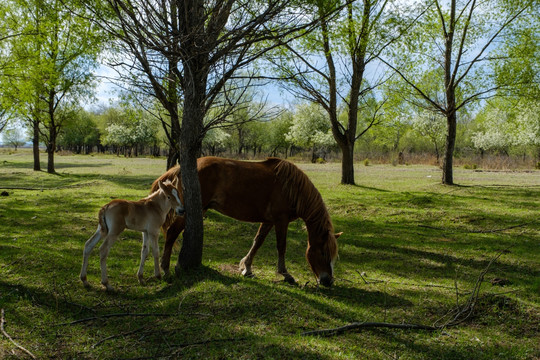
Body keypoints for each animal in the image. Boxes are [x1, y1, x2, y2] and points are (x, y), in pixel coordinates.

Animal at [150, 158, 340, 286]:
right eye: (324, 252)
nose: (328, 281)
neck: (291, 187)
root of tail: (180, 167)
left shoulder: (269, 221)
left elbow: (258, 242)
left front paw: (246, 268)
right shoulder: (281, 220)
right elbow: (281, 246)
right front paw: (285, 273)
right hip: (188, 211)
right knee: (172, 233)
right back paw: (166, 268)